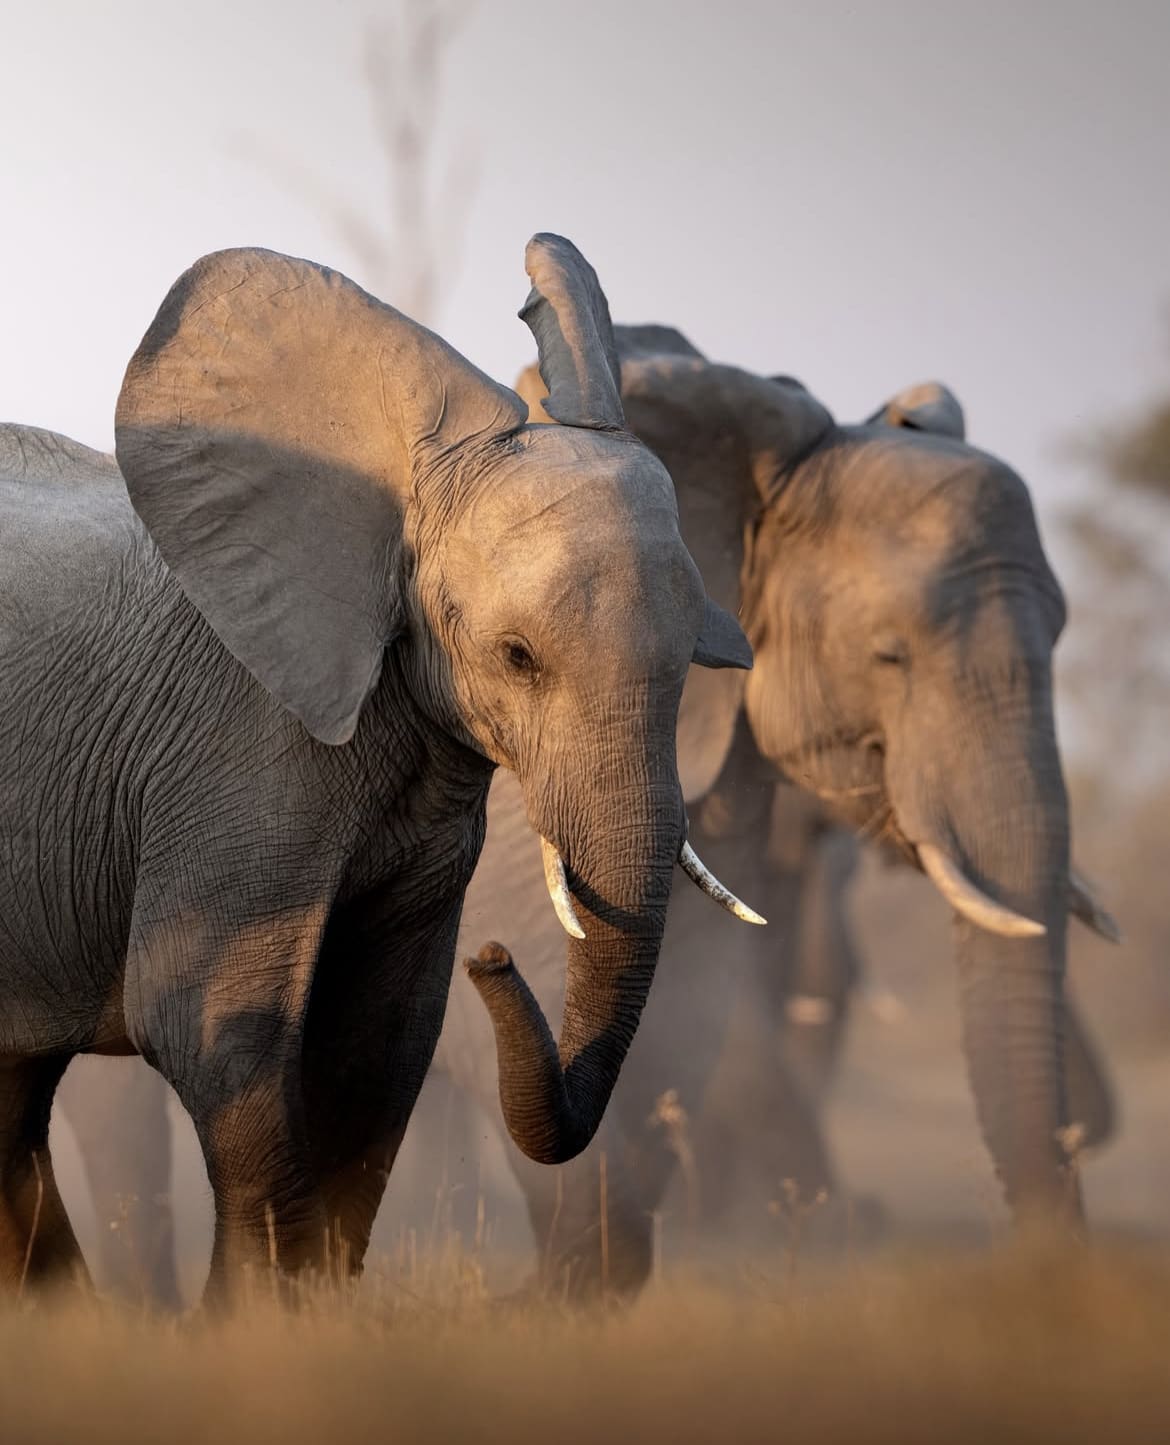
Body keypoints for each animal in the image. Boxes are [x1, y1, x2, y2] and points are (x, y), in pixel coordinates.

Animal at [0, 234, 756, 1300]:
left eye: (693, 659)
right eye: (517, 657)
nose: (495, 955)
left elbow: (383, 1044)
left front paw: (312, 1309)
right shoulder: (238, 743)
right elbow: (210, 1023)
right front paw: (252, 1322)